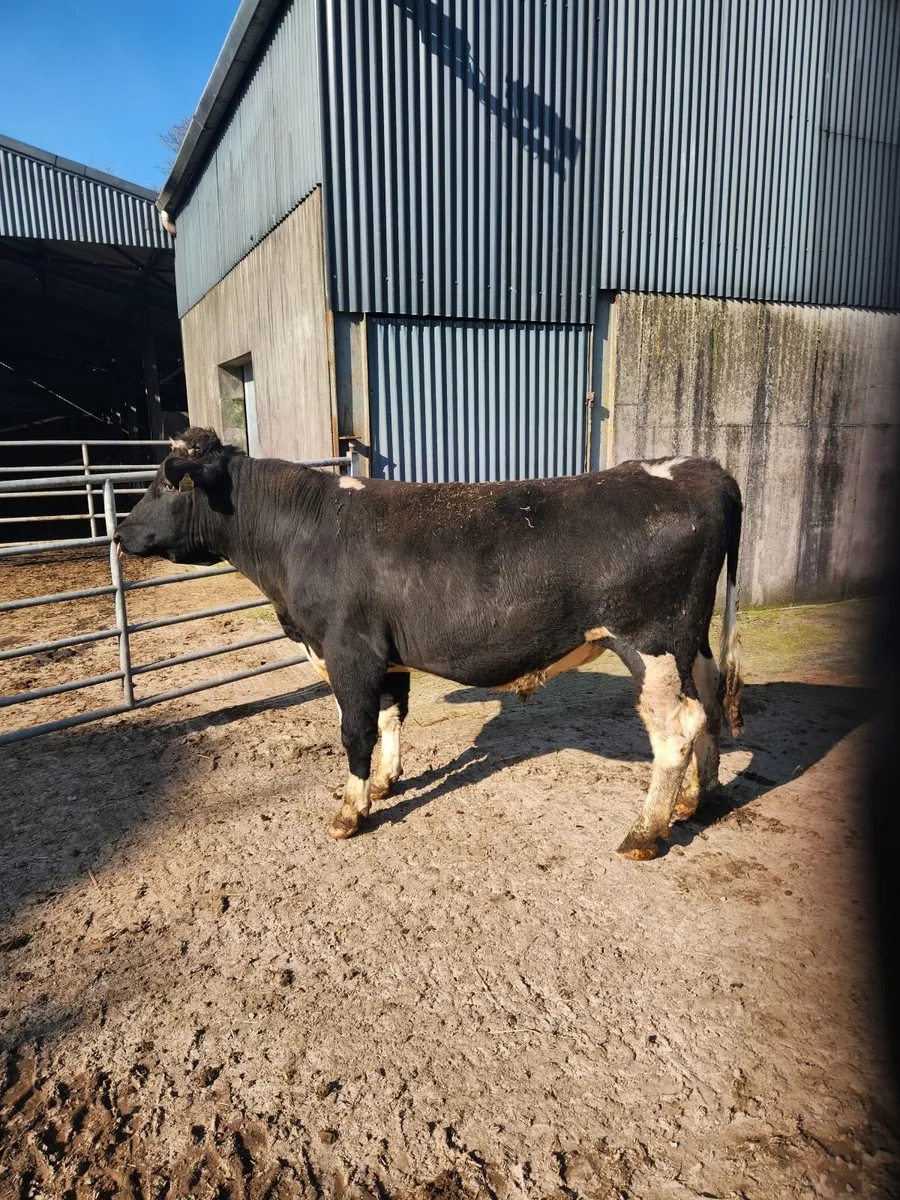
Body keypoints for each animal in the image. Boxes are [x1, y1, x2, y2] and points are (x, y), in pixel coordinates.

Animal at [115, 428, 743, 861]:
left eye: (162, 484)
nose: (119, 532)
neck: (301, 532)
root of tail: (701, 468)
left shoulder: (348, 649)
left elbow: (356, 730)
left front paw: (351, 811)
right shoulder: (385, 655)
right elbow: (391, 715)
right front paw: (387, 781)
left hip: (649, 642)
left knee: (676, 730)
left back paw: (646, 831)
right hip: (691, 643)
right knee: (709, 703)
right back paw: (698, 797)